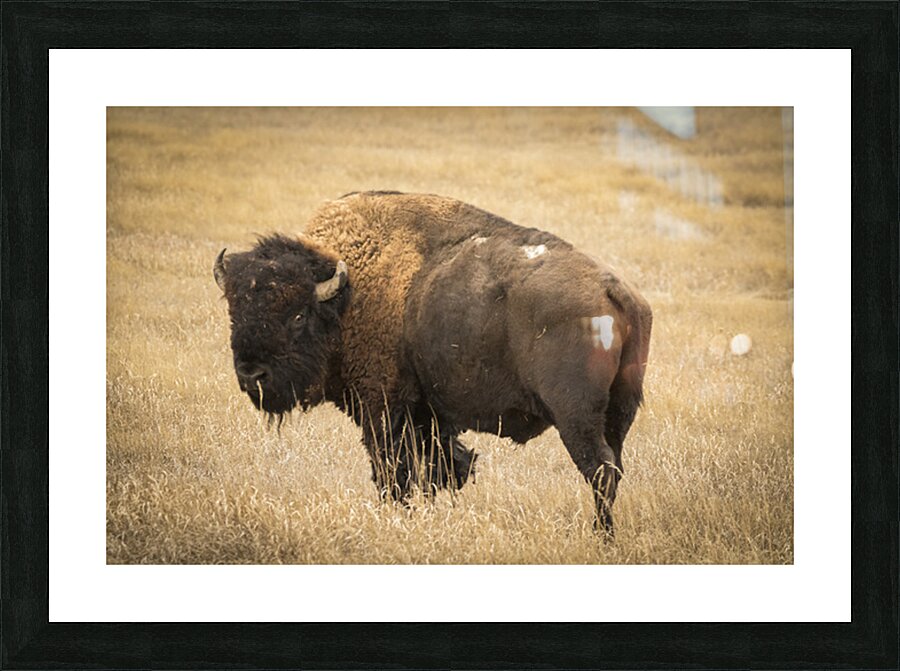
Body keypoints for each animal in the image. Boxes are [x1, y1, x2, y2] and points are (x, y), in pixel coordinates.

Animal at [214, 191, 651, 536]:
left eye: (298, 315)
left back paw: (600, 535)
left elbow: (394, 471)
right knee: (614, 466)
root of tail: (613, 290)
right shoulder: (430, 414)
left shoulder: (383, 408)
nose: (252, 374)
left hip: (575, 416)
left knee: (599, 471)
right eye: (235, 311)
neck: (349, 294)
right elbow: (441, 468)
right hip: (619, 411)